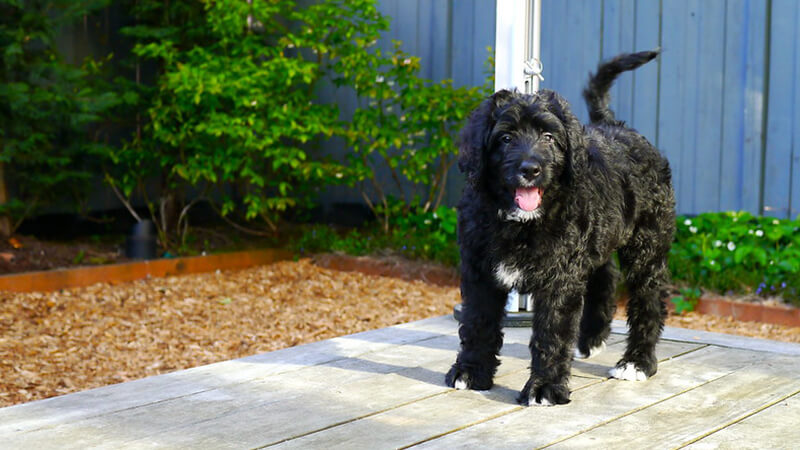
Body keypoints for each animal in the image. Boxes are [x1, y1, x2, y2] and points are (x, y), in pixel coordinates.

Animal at [446, 51, 672, 406]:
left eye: (549, 138)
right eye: (505, 138)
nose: (530, 169)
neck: (521, 221)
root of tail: (613, 125)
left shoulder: (560, 277)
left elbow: (552, 332)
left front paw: (544, 388)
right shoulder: (480, 269)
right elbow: (477, 321)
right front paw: (470, 371)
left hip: (647, 244)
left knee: (648, 298)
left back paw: (637, 362)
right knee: (605, 275)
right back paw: (592, 337)